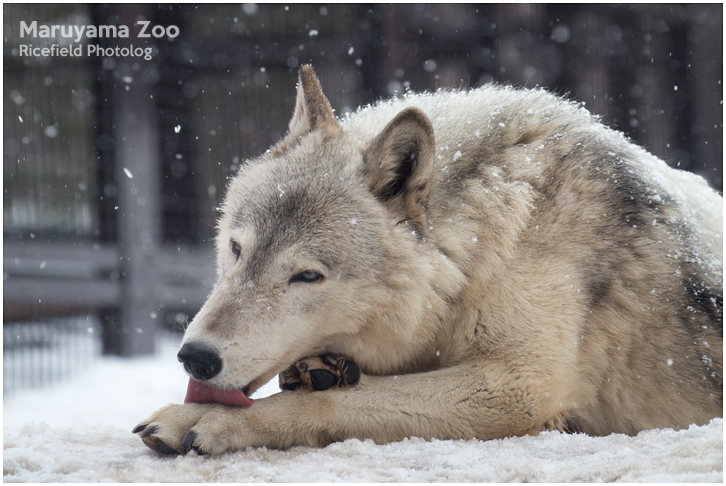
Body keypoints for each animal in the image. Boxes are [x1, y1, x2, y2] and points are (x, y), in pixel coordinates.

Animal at [135, 65, 724, 456]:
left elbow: (337, 402)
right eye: (237, 249)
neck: (485, 243)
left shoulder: (517, 386)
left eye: (306, 275)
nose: (195, 358)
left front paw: (206, 419)